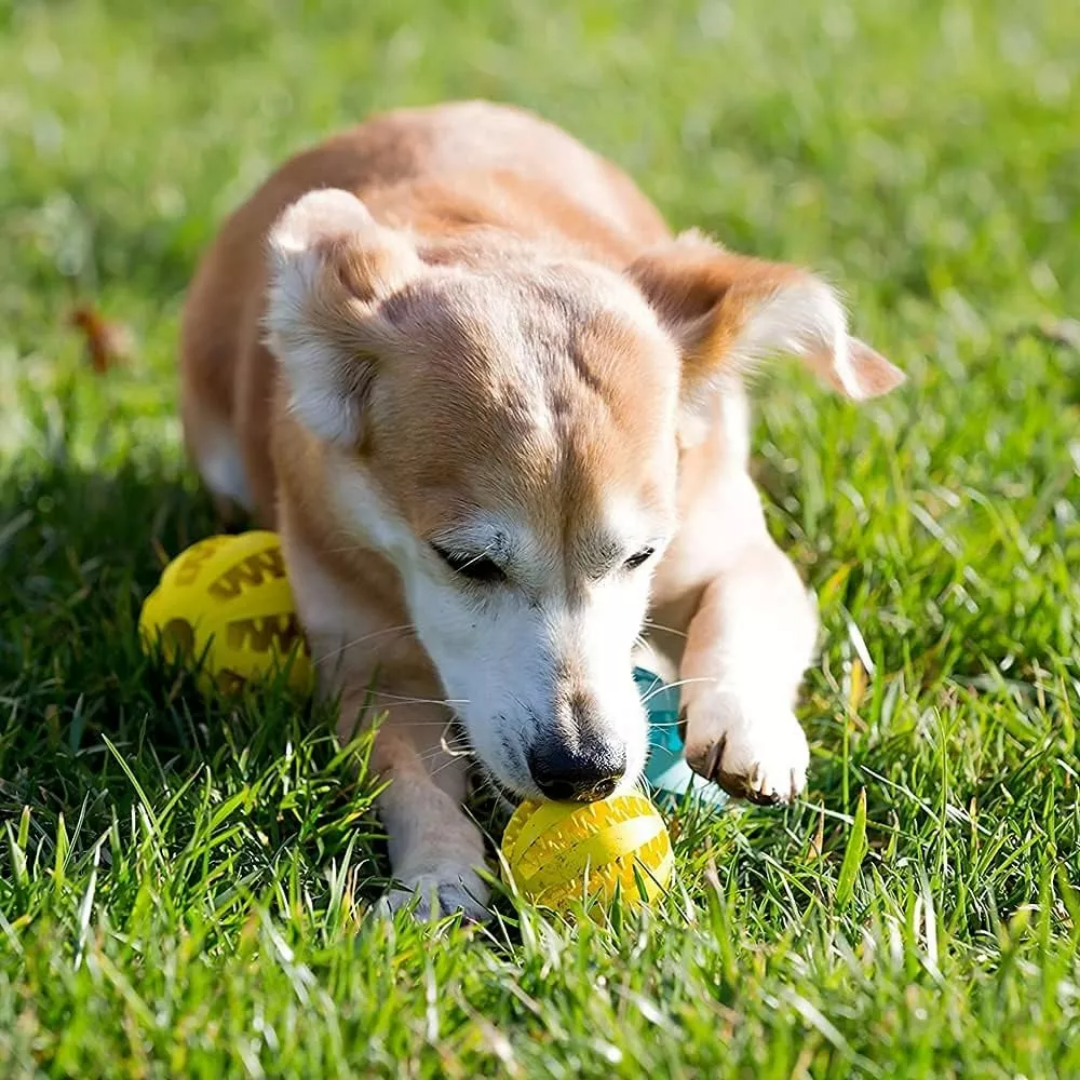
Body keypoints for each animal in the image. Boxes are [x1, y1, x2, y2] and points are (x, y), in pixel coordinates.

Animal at [179, 99, 902, 920]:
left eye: (641, 556)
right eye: (465, 563)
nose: (585, 770)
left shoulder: (731, 546)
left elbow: (746, 604)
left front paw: (748, 728)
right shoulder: (371, 670)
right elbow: (407, 776)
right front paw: (436, 875)